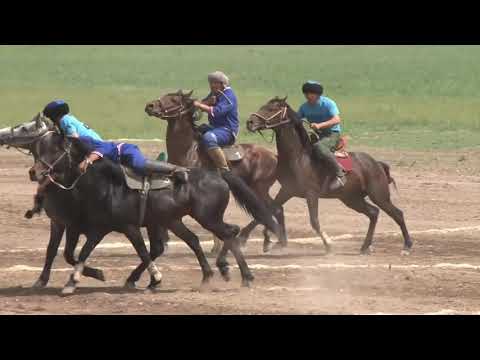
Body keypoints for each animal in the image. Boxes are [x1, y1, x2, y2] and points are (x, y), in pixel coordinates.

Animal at [30, 131, 280, 294]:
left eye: (54, 150)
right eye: (37, 149)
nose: (34, 172)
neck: (106, 184)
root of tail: (218, 174)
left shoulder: (124, 227)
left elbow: (138, 251)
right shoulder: (94, 227)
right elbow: (78, 253)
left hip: (207, 218)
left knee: (229, 232)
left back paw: (242, 275)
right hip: (174, 220)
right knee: (195, 239)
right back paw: (209, 276)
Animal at [144, 90, 286, 253]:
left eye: (174, 99)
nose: (150, 105)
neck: (189, 150)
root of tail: (274, 156)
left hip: (260, 189)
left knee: (273, 209)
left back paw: (277, 241)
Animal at [248, 95, 412, 253]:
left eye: (271, 109)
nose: (250, 122)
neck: (298, 157)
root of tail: (376, 164)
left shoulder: (311, 193)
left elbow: (314, 221)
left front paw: (328, 244)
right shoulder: (287, 190)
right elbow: (268, 211)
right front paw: (267, 241)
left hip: (379, 196)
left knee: (397, 214)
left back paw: (407, 246)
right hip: (352, 199)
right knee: (374, 213)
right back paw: (365, 247)